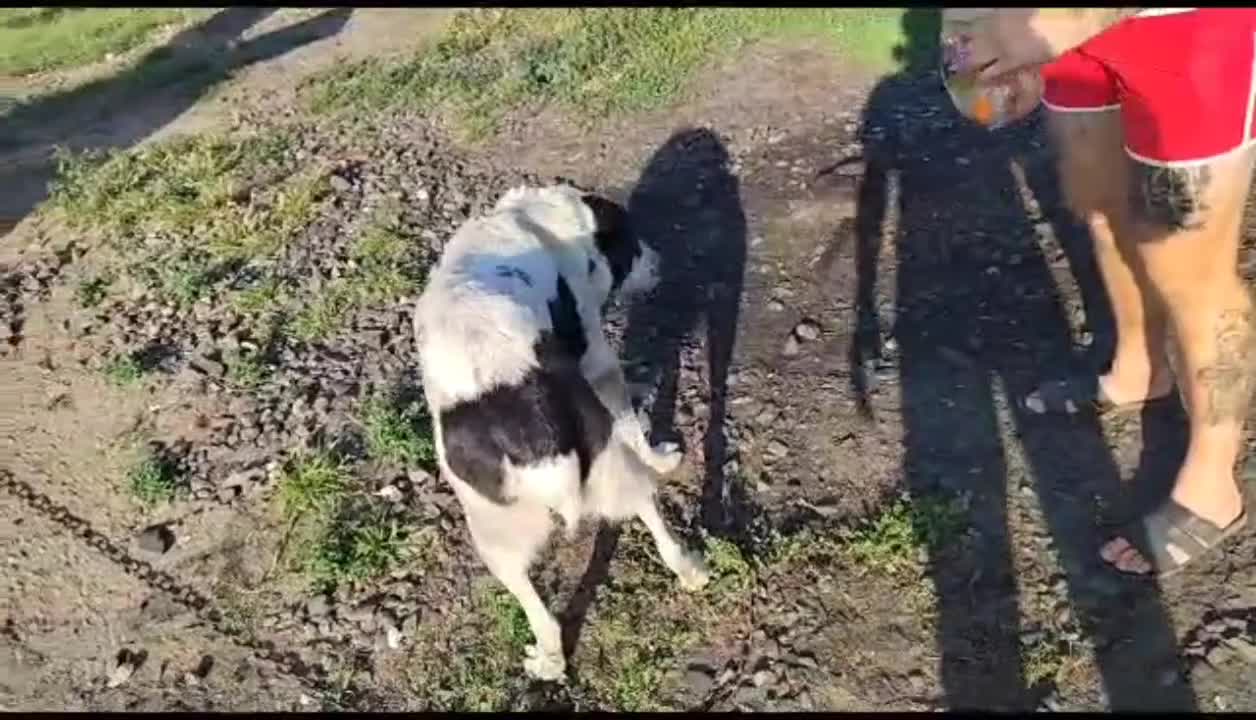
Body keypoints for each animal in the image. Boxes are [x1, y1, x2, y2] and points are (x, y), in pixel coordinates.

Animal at [411, 182, 708, 678]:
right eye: (632, 242)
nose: (659, 262)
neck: (533, 219)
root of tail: (522, 431)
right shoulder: (600, 365)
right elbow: (632, 424)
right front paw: (659, 452)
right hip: (612, 466)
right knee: (650, 514)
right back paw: (689, 569)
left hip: (493, 534)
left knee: (541, 615)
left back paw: (549, 662)